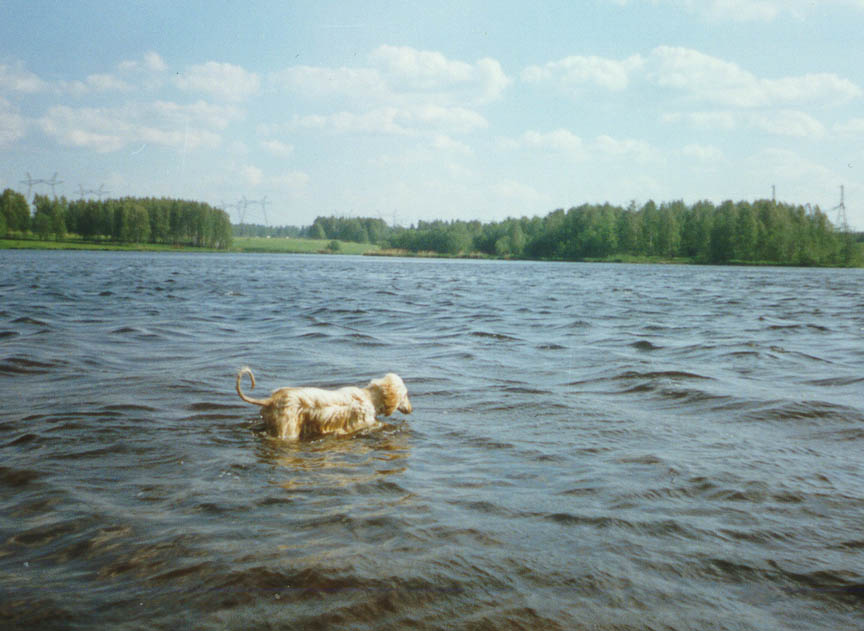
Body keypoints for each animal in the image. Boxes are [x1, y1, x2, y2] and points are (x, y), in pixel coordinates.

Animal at [236, 366, 412, 440]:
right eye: (405, 394)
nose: (411, 409)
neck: (369, 397)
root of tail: (271, 400)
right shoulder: (362, 423)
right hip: (287, 427)